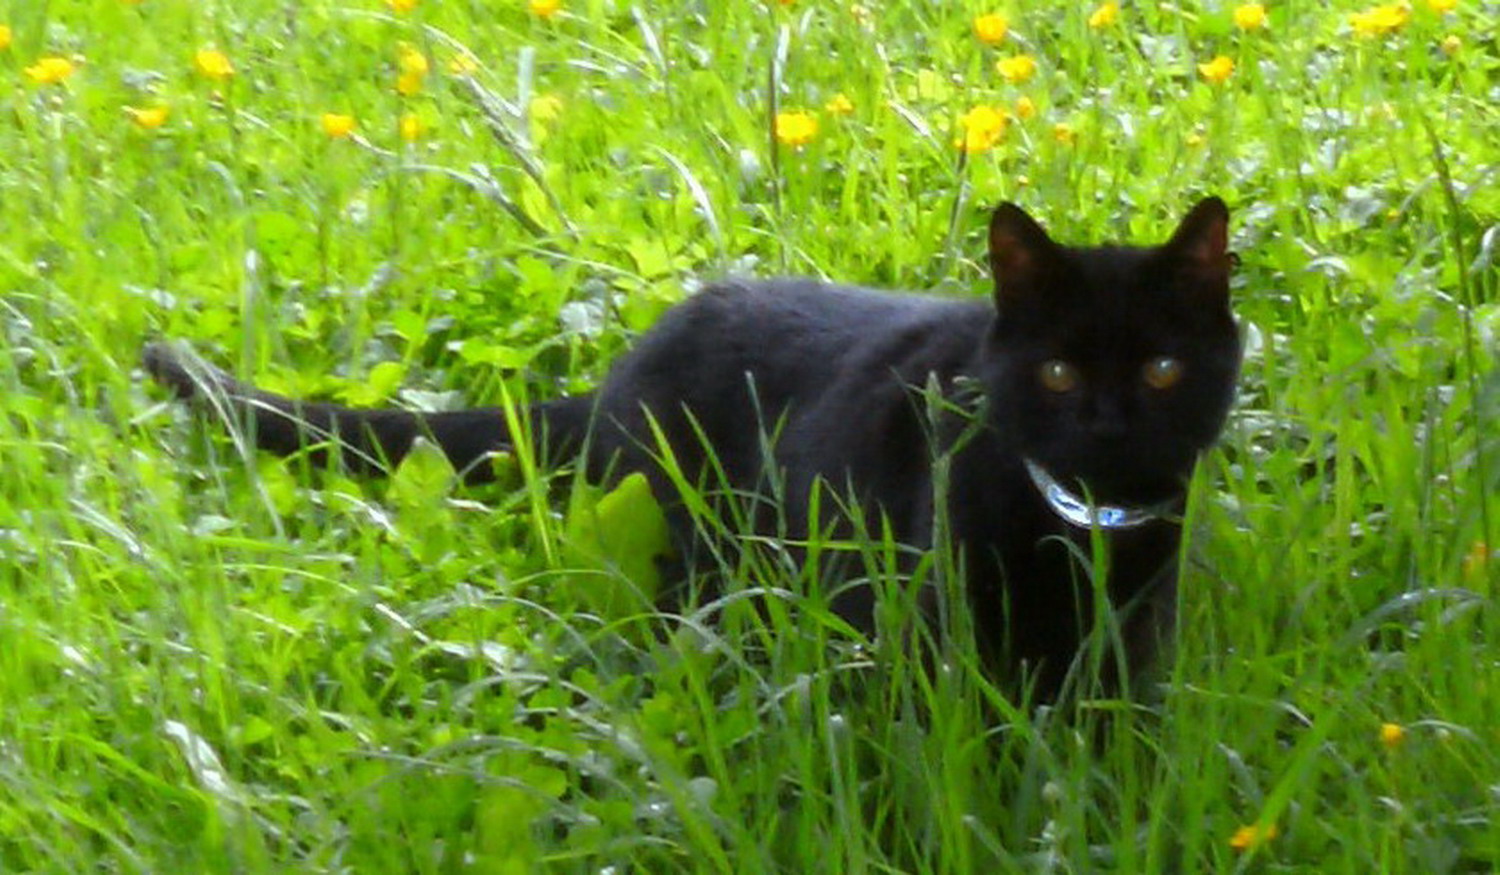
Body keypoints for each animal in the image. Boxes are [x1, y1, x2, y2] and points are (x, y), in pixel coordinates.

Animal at [143, 198, 1242, 699]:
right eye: (1055, 373)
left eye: (1162, 370)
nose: (1109, 421)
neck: (1089, 536)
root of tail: (626, 366)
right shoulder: (933, 633)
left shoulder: (1135, 639)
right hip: (681, 549)